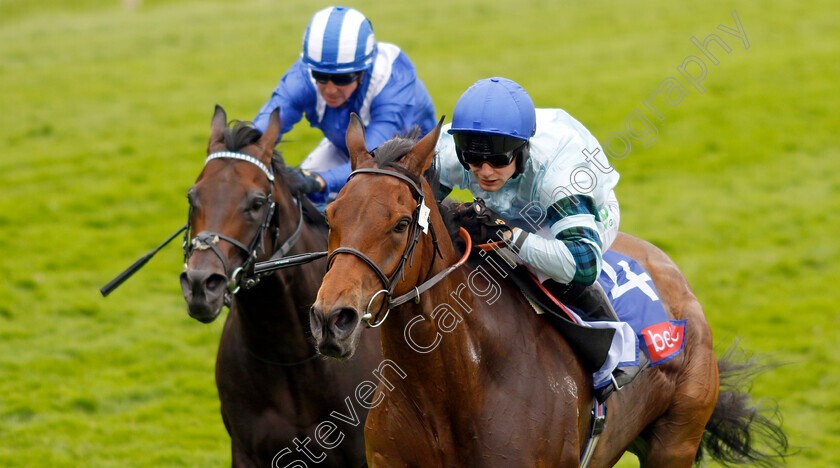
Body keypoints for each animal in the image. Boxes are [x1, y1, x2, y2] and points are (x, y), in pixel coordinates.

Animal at [308, 114, 788, 468]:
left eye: (401, 223)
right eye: (331, 215)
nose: (333, 319)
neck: (449, 390)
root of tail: (673, 275)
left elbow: (578, 255)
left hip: (676, 441)